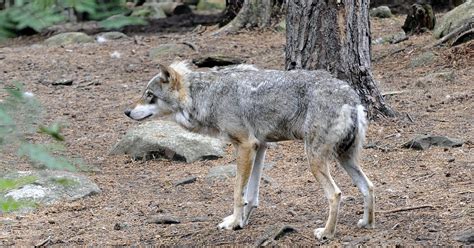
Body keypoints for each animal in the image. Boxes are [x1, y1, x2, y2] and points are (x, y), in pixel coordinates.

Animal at [125, 61, 374, 241]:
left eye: (149, 95)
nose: (127, 111)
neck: (207, 96)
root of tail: (351, 98)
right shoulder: (260, 146)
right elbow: (251, 194)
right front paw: (243, 221)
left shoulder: (245, 146)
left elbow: (237, 192)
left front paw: (234, 222)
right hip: (345, 158)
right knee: (368, 186)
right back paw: (367, 223)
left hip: (314, 160)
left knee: (336, 194)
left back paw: (326, 233)